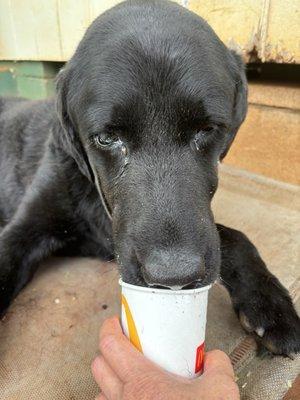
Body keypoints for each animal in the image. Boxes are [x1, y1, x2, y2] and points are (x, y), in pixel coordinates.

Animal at [0, 0, 298, 356]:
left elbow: (232, 236)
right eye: (106, 138)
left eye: (208, 129)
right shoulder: (29, 226)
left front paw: (270, 302)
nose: (174, 277)